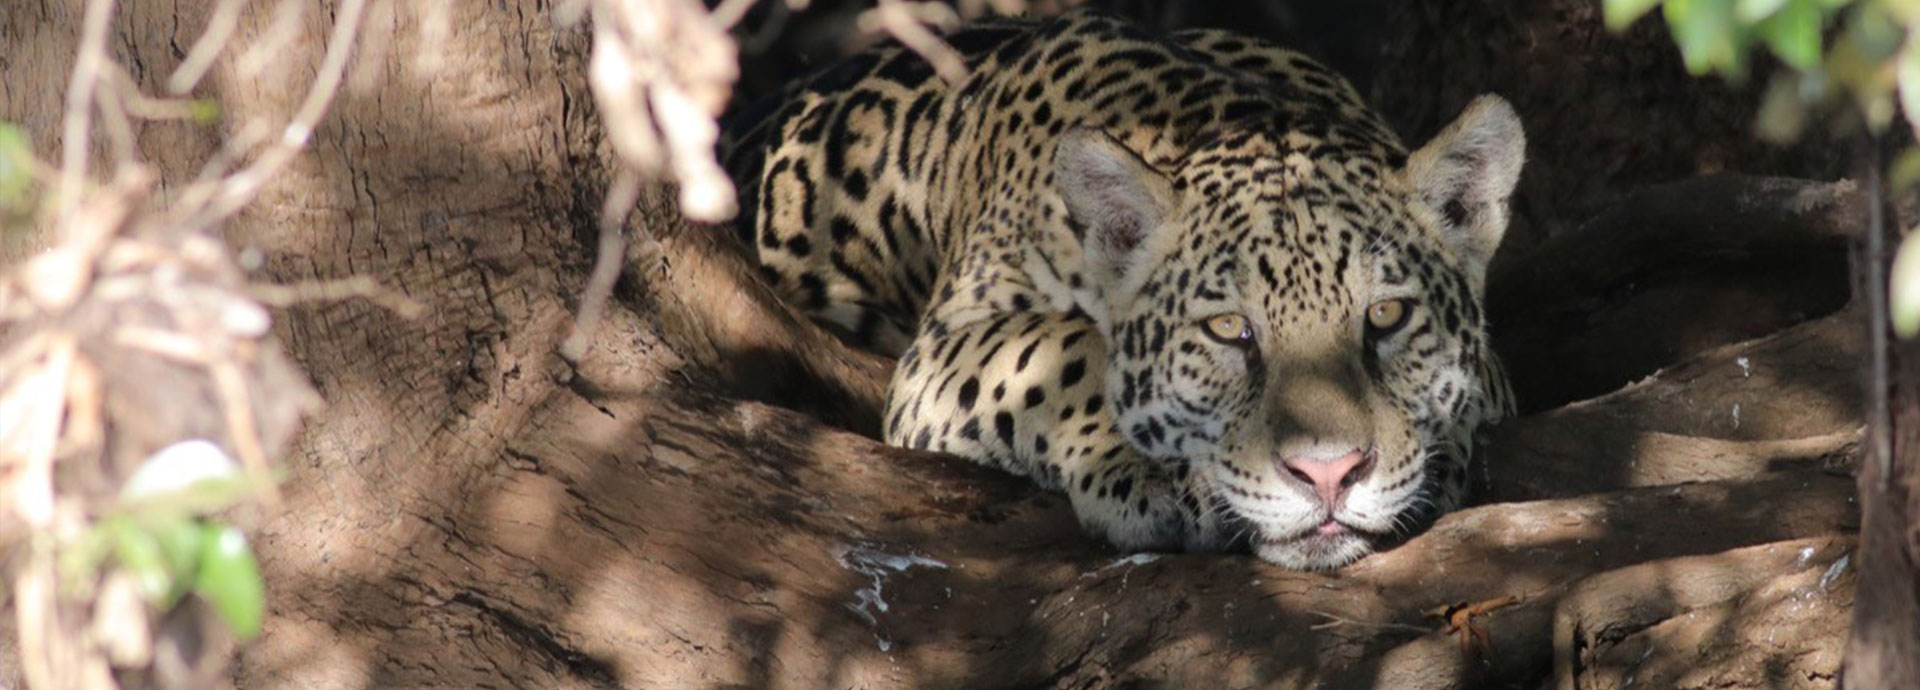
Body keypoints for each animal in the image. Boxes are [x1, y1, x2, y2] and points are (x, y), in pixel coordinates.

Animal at [722, 10, 1524, 570]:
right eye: (1229, 330)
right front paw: (1152, 474)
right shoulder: (943, 344)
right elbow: (1066, 350)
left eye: (1386, 316)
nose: (1327, 476)